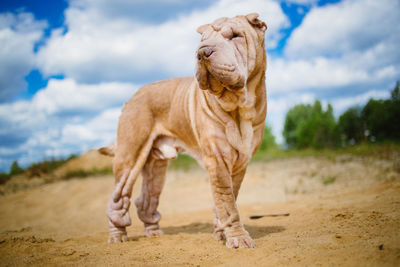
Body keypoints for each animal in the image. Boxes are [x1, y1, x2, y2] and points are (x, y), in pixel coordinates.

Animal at [99, 13, 268, 250]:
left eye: (235, 35)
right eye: (202, 41)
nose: (202, 52)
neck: (238, 107)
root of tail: (134, 95)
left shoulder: (241, 161)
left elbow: (227, 199)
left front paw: (222, 233)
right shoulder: (218, 157)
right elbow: (227, 201)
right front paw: (238, 238)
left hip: (155, 167)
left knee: (146, 200)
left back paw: (154, 233)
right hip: (129, 156)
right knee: (118, 199)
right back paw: (117, 235)